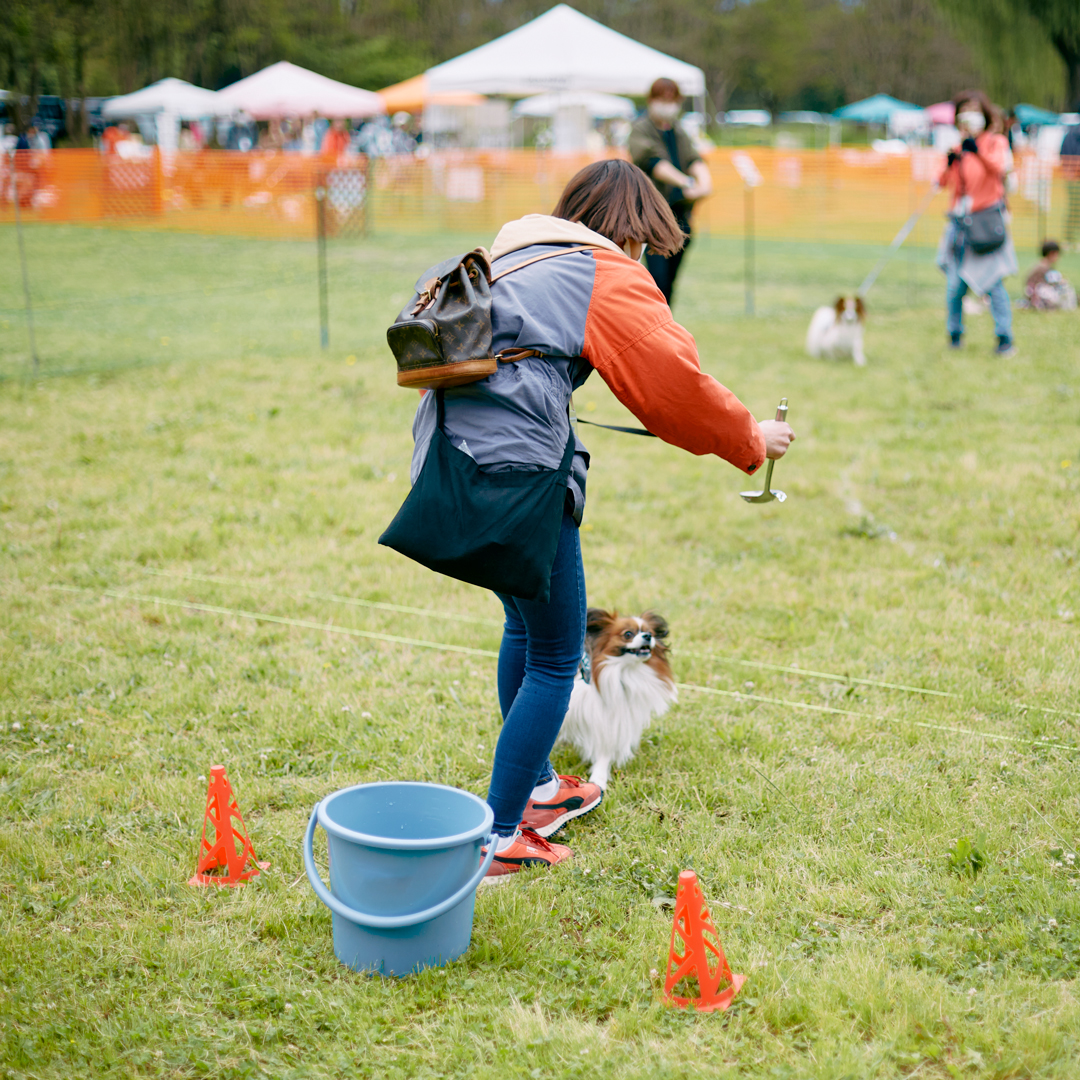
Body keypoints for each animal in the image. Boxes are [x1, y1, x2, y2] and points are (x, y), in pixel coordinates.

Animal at [557, 609, 673, 794]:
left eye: (650, 632)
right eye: (628, 634)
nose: (648, 636)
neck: (622, 672)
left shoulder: (613, 720)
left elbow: (604, 752)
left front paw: (598, 779)